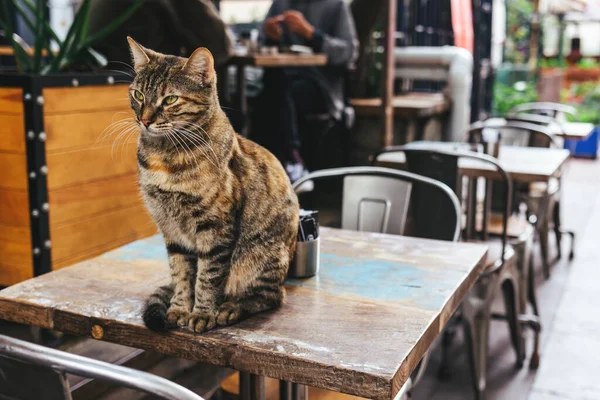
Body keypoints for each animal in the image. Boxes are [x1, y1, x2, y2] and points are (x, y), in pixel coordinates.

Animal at [129, 36, 302, 332]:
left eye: (170, 99)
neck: (165, 157)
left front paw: (202, 313)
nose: (145, 120)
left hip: (260, 258)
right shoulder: (171, 231)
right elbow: (181, 274)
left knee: (271, 296)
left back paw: (231, 307)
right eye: (138, 95)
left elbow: (208, 278)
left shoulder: (216, 229)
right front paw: (179, 308)